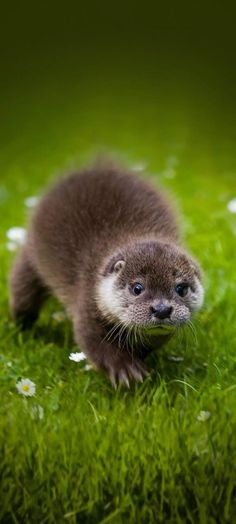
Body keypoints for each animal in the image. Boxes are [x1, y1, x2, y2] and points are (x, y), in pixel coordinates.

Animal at [10, 162, 204, 386]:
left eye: (181, 288)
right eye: (137, 288)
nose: (162, 309)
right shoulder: (88, 301)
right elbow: (95, 343)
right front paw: (125, 368)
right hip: (30, 256)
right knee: (22, 291)